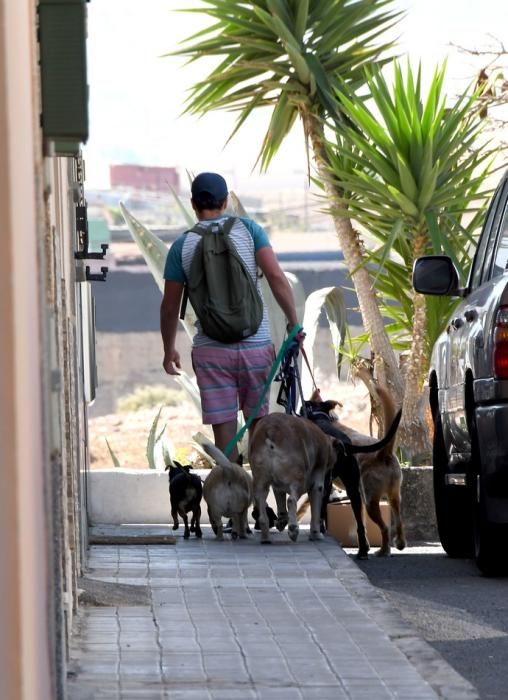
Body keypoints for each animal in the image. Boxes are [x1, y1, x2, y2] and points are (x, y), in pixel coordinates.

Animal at [248, 412, 340, 544]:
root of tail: (271, 430)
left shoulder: (277, 486)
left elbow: (280, 500)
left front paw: (282, 521)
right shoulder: (317, 485)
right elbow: (315, 512)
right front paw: (315, 534)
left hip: (260, 482)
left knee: (262, 508)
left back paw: (266, 536)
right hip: (300, 481)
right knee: (291, 500)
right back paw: (293, 529)